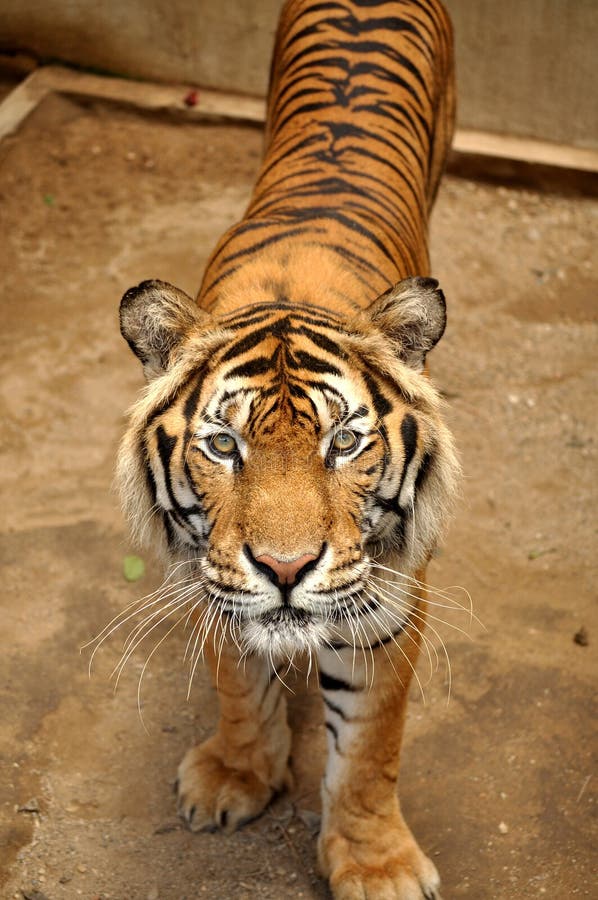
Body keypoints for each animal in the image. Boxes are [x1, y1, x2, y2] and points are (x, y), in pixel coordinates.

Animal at [116, 0, 460, 896]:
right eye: (222, 443)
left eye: (345, 442)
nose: (283, 568)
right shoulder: (211, 569)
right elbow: (238, 682)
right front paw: (236, 776)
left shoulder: (387, 596)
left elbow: (371, 745)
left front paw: (376, 864)